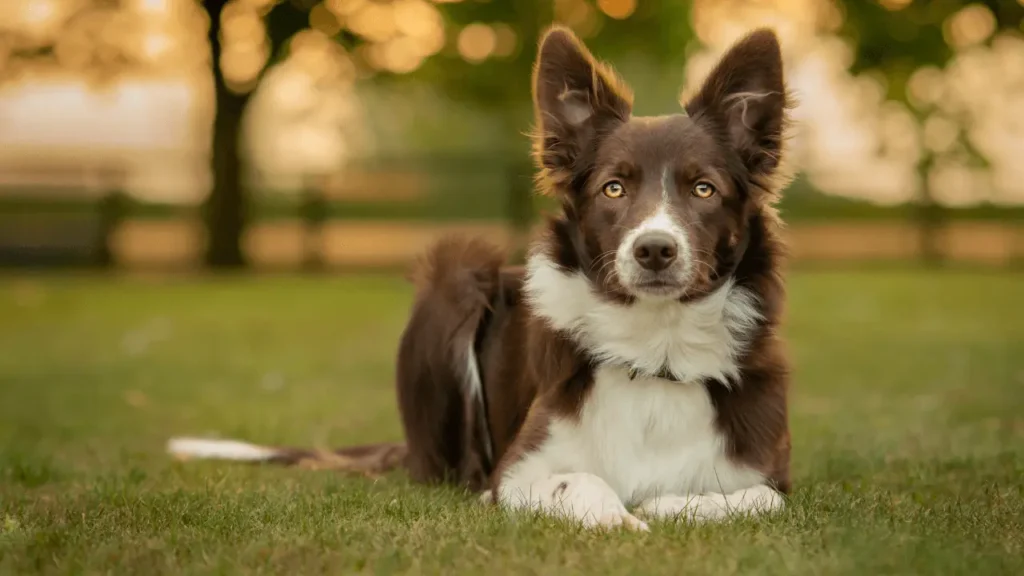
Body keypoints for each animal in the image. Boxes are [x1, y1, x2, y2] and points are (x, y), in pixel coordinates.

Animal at [167, 25, 790, 528]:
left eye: (703, 188)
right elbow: (580, 480)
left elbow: (758, 498)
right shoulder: (512, 476)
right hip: (458, 276)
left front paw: (665, 504)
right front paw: (624, 518)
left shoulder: (773, 473)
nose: (654, 249)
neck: (655, 351)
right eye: (613, 188)